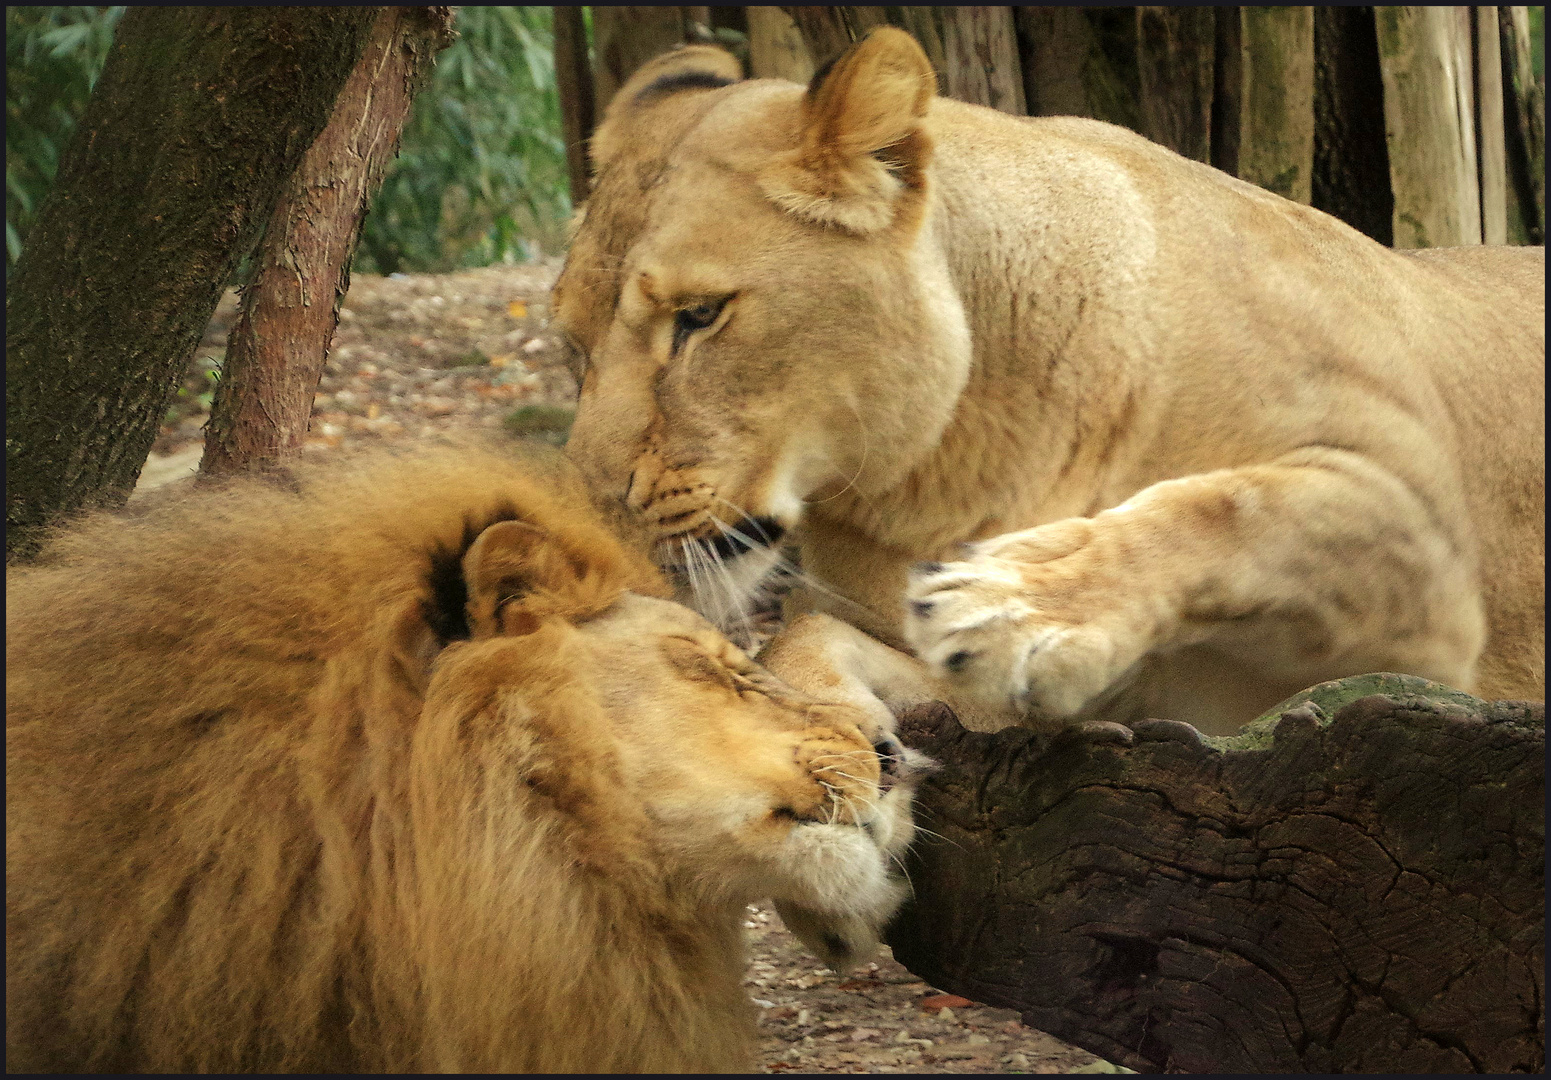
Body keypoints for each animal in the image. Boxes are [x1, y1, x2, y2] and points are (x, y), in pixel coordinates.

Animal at [555, 27, 1538, 735]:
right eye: (572, 343)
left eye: (699, 316)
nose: (597, 512)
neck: (947, 462)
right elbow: (799, 638)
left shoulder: (1432, 573)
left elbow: (1228, 507)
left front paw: (1019, 604)